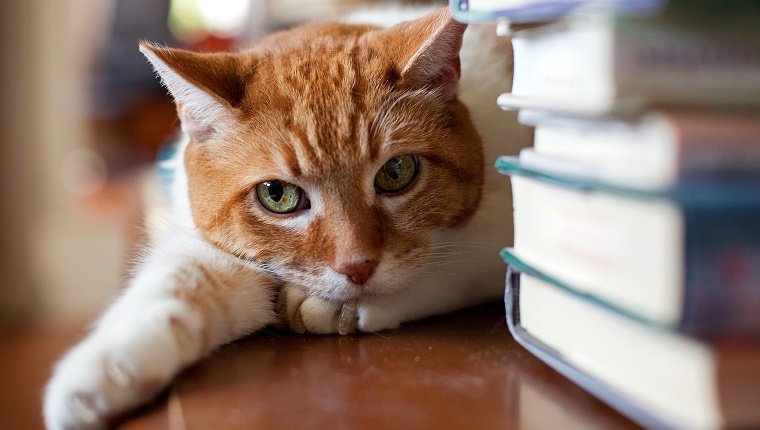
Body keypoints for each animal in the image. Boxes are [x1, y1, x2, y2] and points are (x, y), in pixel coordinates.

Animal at [41, 7, 528, 430]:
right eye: (277, 195)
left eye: (396, 172)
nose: (358, 267)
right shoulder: (223, 251)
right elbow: (177, 285)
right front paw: (101, 373)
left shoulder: (499, 238)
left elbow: (446, 270)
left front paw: (339, 307)